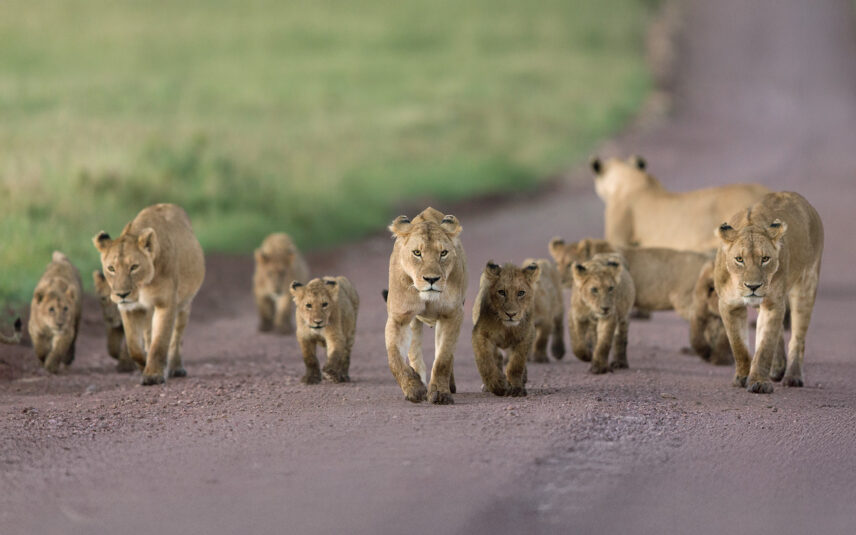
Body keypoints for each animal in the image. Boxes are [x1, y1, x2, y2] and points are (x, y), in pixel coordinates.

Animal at [93, 203, 205, 385]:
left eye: (134, 267)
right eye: (111, 268)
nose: (122, 294)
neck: (142, 287)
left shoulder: (165, 304)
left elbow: (160, 343)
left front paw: (153, 374)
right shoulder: (129, 309)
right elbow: (134, 346)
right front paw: (144, 364)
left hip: (185, 304)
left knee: (177, 337)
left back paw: (176, 367)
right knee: (147, 336)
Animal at [385, 207, 466, 404]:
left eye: (443, 253)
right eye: (417, 253)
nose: (431, 279)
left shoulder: (452, 314)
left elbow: (443, 358)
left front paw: (440, 393)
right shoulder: (398, 318)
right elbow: (394, 358)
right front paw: (413, 388)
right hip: (414, 323)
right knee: (414, 353)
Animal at [472, 262, 540, 397]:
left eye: (521, 293)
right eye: (501, 292)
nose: (511, 314)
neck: (506, 328)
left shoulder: (527, 335)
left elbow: (516, 364)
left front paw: (517, 388)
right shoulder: (479, 334)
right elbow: (485, 362)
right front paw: (497, 386)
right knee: (496, 358)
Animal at [714, 191, 823, 393]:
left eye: (765, 259)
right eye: (739, 259)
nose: (753, 286)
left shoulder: (773, 303)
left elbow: (765, 347)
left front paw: (758, 382)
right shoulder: (728, 305)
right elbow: (738, 345)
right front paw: (742, 377)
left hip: (806, 285)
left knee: (797, 337)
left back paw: (793, 377)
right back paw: (777, 368)